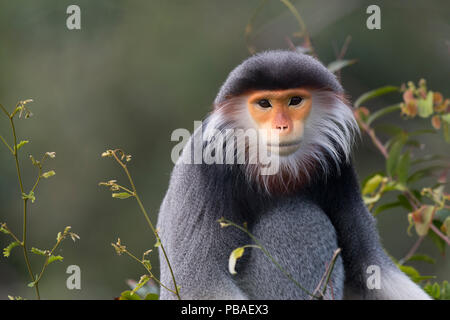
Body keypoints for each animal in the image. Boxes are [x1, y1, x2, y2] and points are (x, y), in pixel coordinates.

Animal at [156, 50, 430, 300]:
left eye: (295, 100)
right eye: (264, 103)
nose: (282, 126)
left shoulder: (338, 167)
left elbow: (371, 269)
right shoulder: (208, 166)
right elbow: (198, 284)